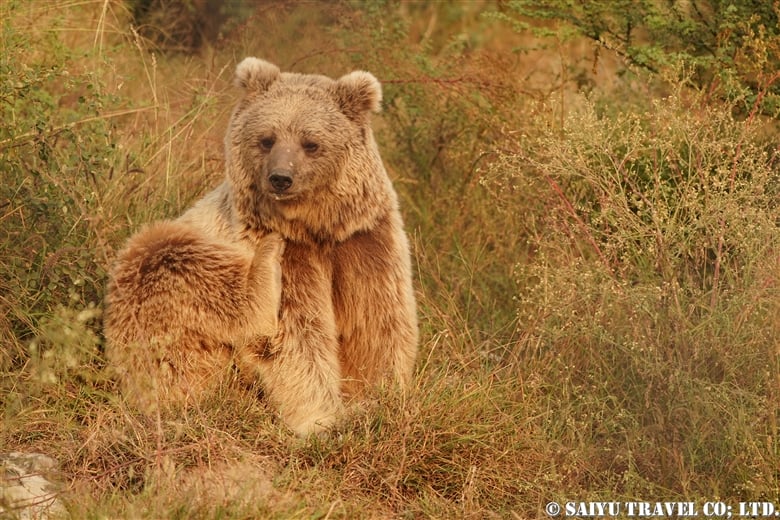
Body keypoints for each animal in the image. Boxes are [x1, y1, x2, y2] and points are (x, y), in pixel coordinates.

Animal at [106, 59, 420, 436]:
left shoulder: (363, 241)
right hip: (159, 278)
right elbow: (295, 337)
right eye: (266, 139)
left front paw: (381, 396)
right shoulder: (287, 252)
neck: (314, 229)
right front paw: (321, 418)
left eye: (310, 143)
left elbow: (378, 323)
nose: (281, 178)